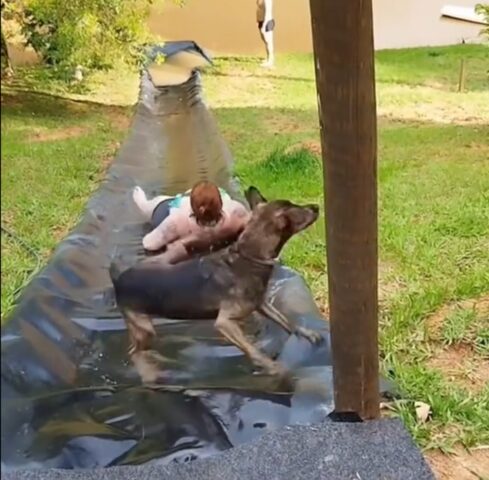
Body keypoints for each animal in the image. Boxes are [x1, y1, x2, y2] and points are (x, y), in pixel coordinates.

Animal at [110, 186, 320, 376]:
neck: (249, 258)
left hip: (163, 261)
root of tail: (118, 279)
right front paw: (272, 367)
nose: (317, 206)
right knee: (135, 352)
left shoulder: (261, 304)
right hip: (143, 328)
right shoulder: (225, 323)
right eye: (298, 210)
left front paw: (307, 333)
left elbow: (286, 320)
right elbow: (252, 349)